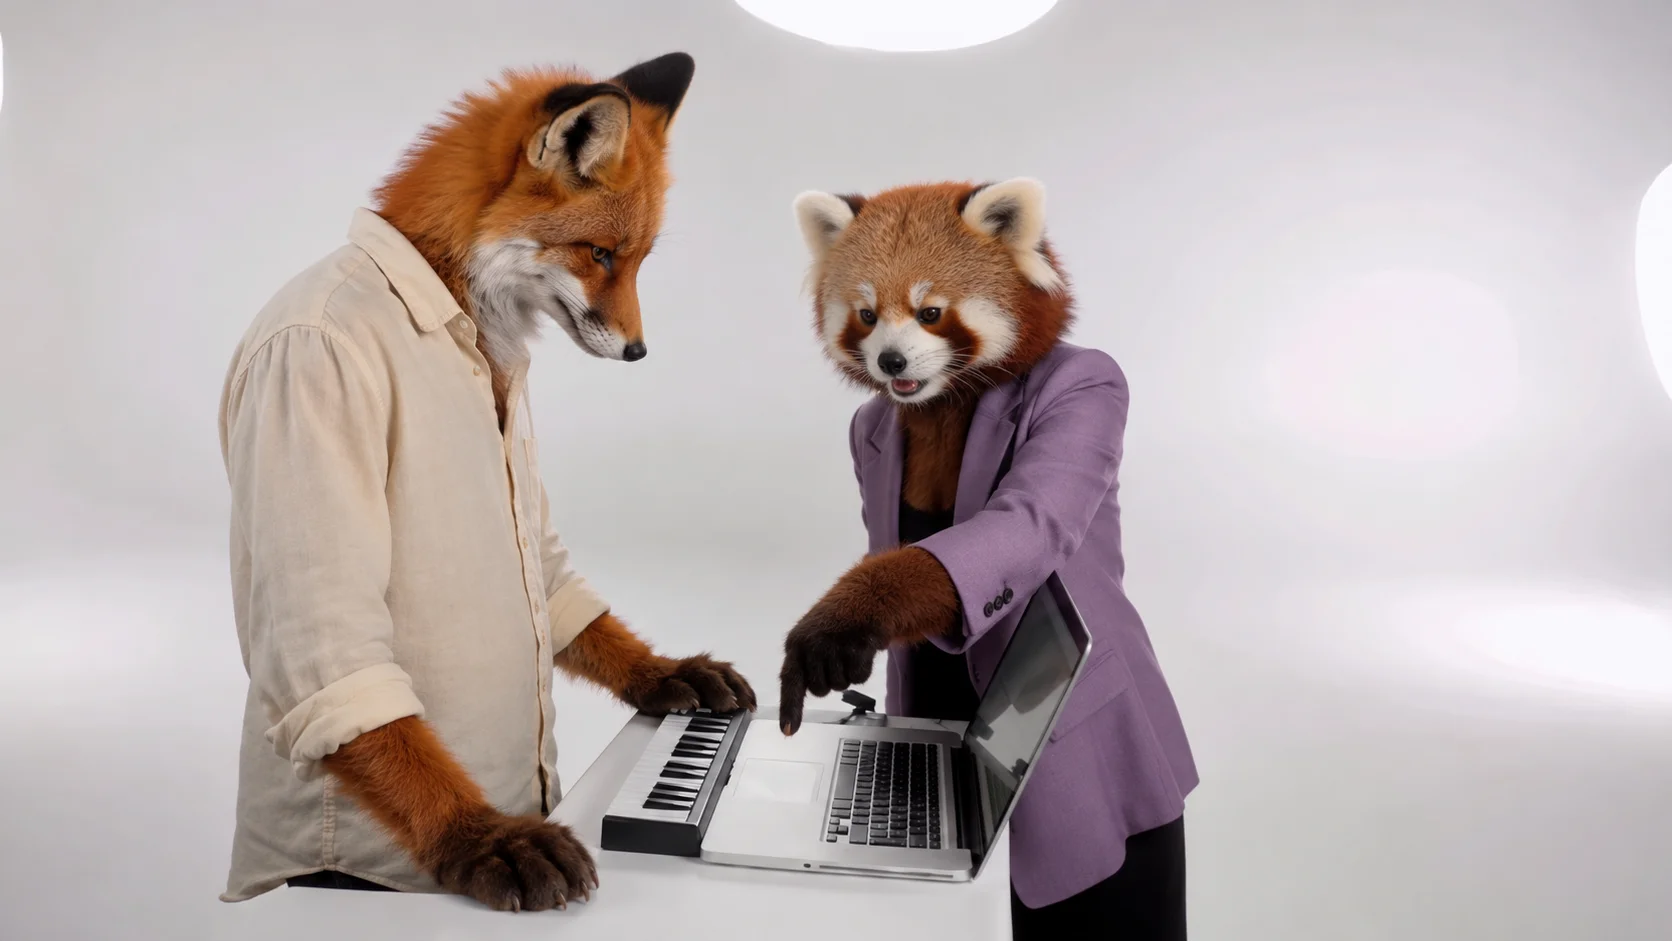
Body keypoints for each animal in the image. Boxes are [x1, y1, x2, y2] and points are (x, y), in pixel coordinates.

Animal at [308, 53, 757, 911]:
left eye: (640, 259)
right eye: (601, 254)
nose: (640, 353)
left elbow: (566, 601)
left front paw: (663, 672)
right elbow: (370, 701)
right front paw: (481, 837)